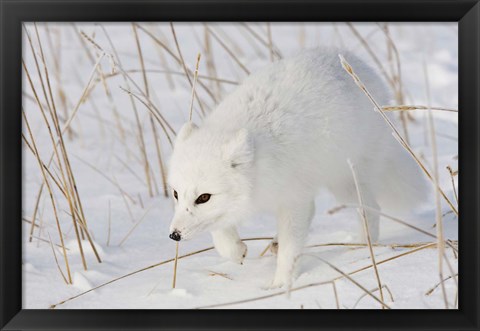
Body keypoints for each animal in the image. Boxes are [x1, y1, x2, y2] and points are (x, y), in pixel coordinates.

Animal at [169, 48, 428, 290]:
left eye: (203, 197)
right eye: (175, 194)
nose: (174, 235)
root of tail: (354, 60)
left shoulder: (293, 200)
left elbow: (290, 249)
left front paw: (281, 285)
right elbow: (220, 232)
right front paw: (236, 251)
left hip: (345, 182)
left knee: (371, 209)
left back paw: (363, 247)